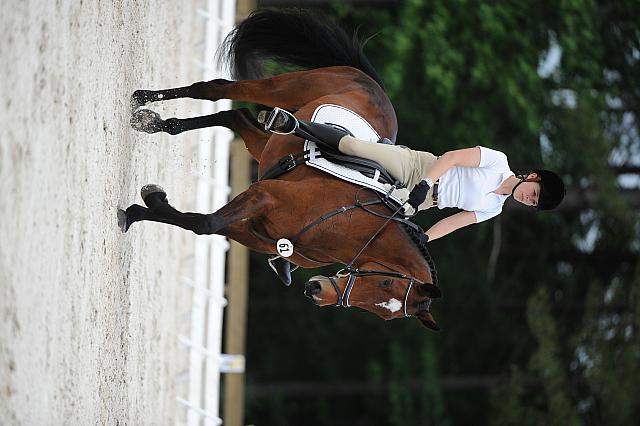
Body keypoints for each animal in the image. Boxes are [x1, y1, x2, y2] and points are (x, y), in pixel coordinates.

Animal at [119, 8, 440, 332]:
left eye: (382, 311)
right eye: (385, 283)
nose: (315, 291)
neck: (343, 225)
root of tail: (372, 83)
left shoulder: (254, 232)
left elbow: (200, 224)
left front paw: (142, 208)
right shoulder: (264, 195)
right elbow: (205, 223)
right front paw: (142, 206)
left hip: (266, 146)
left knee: (234, 116)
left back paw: (159, 123)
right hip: (282, 89)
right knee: (214, 89)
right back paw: (143, 101)